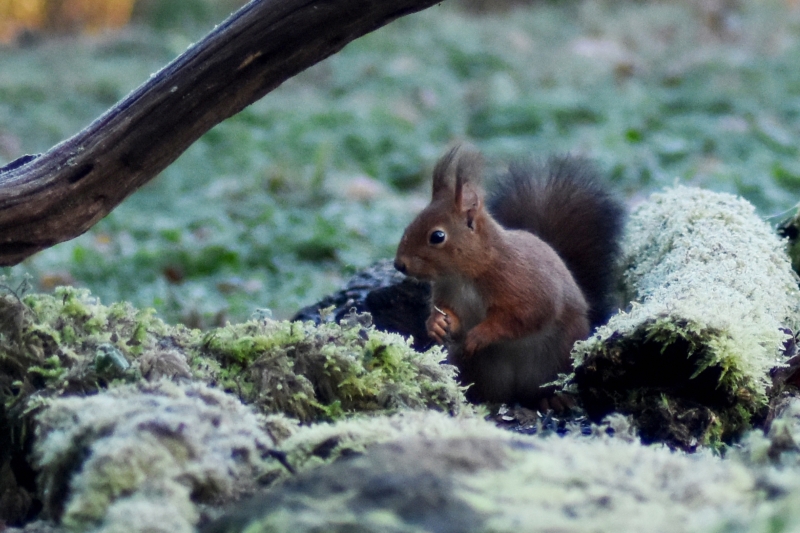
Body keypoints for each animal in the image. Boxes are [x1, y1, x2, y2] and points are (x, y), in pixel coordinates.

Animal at [394, 143, 624, 406]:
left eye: (437, 236)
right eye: (410, 224)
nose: (399, 264)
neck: (465, 275)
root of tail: (517, 393)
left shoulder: (523, 284)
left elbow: (523, 317)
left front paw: (480, 335)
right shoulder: (447, 292)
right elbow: (450, 315)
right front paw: (437, 324)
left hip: (557, 358)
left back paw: (553, 399)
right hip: (476, 369)